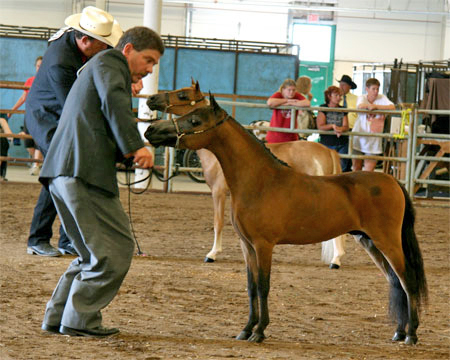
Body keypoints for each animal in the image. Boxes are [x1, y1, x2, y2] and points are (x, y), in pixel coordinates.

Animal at [146, 81, 346, 268]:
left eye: (182, 95)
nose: (151, 99)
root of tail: (328, 151)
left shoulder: (218, 192)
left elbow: (218, 222)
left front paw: (212, 254)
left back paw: (336, 260)